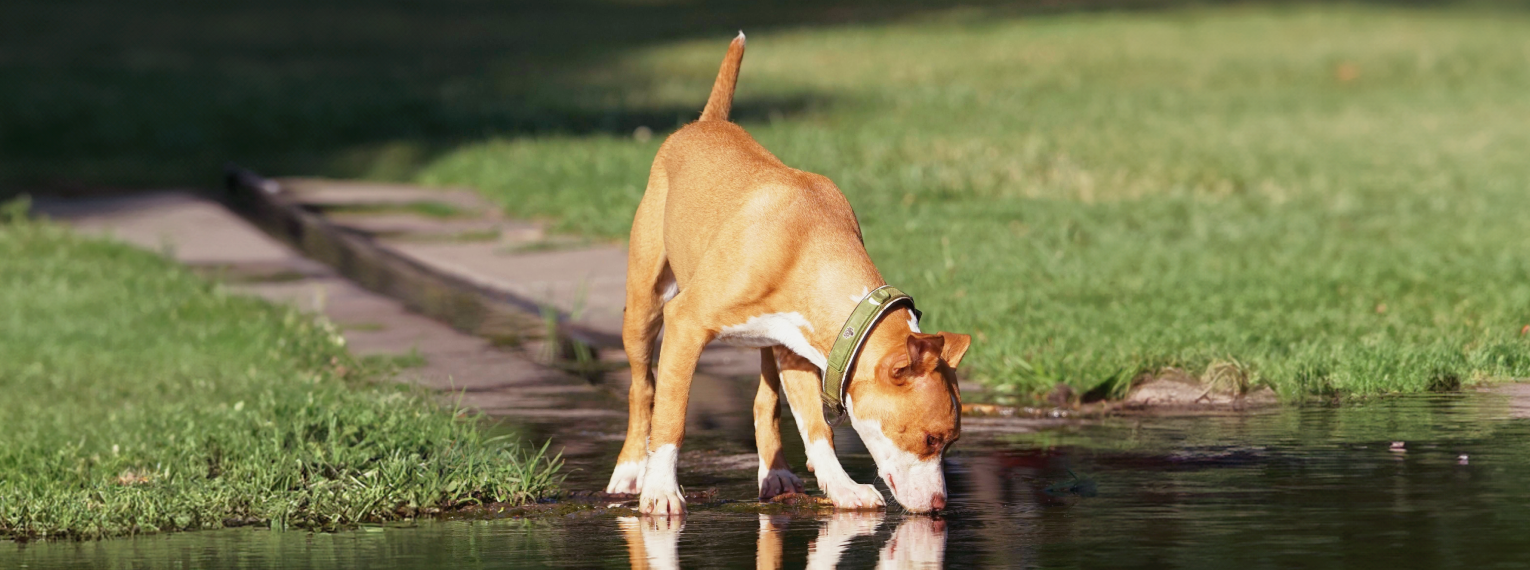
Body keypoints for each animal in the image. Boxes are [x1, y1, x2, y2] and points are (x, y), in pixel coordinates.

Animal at [605, 32, 973, 516]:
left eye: (951, 443)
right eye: (931, 438)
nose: (938, 505)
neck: (809, 240)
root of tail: (705, 122)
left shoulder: (803, 348)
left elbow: (817, 428)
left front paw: (843, 488)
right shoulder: (685, 324)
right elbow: (671, 415)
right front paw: (662, 490)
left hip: (767, 342)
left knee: (765, 401)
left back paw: (776, 473)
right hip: (645, 304)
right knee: (641, 389)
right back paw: (631, 470)